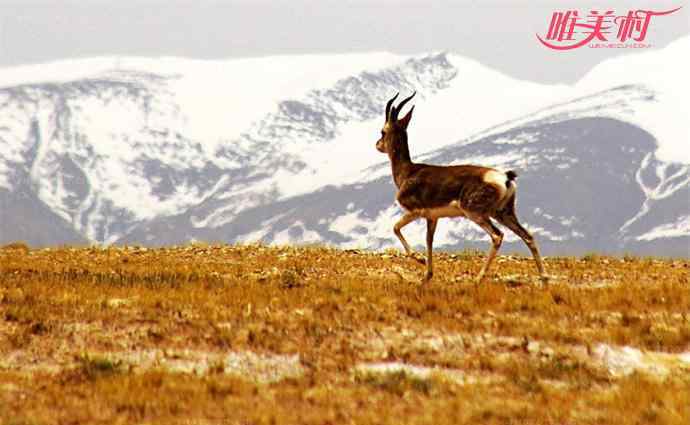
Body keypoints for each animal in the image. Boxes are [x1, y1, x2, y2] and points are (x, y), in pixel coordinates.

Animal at [374, 93, 544, 284]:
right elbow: (429, 241)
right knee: (528, 236)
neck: (408, 171)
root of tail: (505, 178)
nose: (377, 144)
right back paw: (544, 279)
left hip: (475, 213)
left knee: (497, 236)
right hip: (503, 213)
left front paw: (420, 259)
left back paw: (478, 278)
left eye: (383, 131)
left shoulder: (415, 211)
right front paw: (427, 275)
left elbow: (396, 228)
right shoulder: (432, 217)